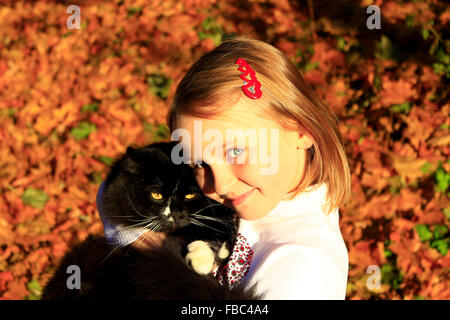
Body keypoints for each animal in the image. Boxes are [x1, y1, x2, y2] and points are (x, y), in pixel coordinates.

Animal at [43, 141, 260, 298]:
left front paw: (205, 254)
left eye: (190, 195)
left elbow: (219, 222)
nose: (175, 214)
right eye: (157, 195)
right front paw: (203, 257)